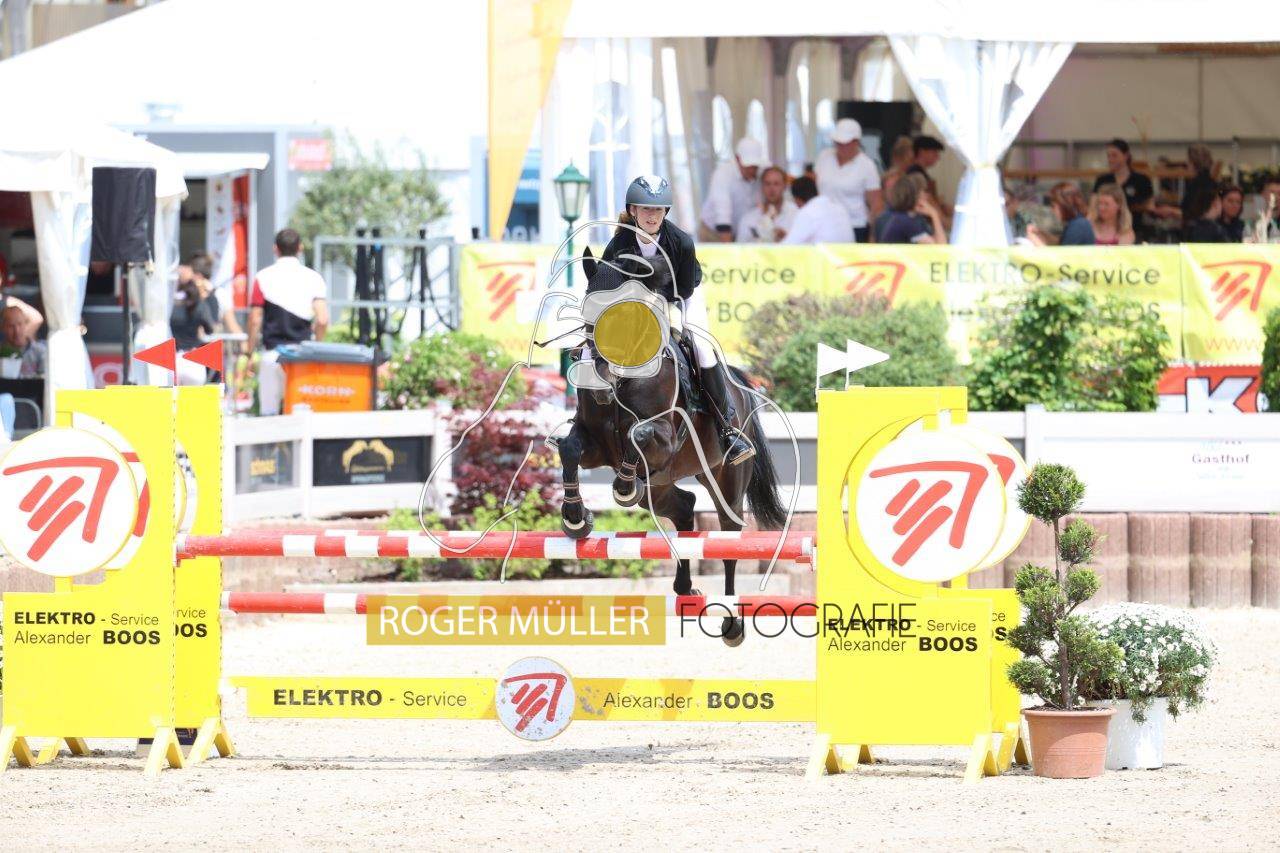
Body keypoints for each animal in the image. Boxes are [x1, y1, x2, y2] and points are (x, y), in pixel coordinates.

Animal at [555, 247, 788, 646]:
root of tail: (740, 389)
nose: (600, 378)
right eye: (587, 307)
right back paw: (685, 588)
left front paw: (622, 485)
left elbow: (639, 434)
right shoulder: (596, 445)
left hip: (725, 480)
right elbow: (569, 448)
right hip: (661, 486)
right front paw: (575, 518)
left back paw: (732, 624)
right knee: (684, 508)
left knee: (728, 538)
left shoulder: (664, 438)